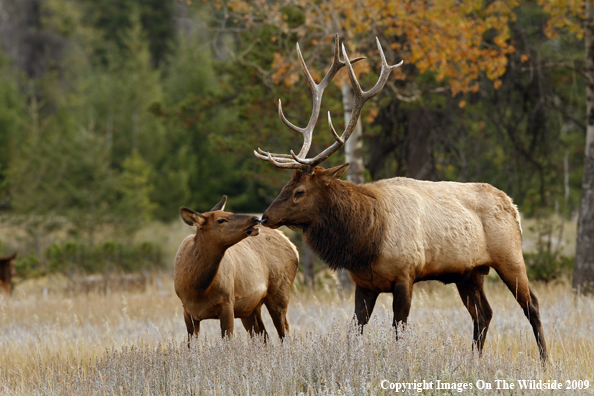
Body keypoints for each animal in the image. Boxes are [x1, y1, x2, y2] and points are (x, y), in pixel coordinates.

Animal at [173, 196, 298, 342]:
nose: (256, 218)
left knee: (285, 333)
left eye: (229, 212)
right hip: (250, 308)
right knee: (265, 336)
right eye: (221, 219)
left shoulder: (227, 302)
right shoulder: (188, 311)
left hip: (279, 293)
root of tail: (292, 246)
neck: (197, 288)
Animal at [253, 34, 544, 362]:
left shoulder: (406, 275)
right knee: (484, 314)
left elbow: (399, 331)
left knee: (531, 306)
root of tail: (512, 205)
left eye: (299, 191)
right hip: (469, 273)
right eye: (285, 185)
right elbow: (353, 332)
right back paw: (474, 360)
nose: (265, 216)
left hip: (510, 256)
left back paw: (545, 361)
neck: (365, 240)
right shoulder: (364, 284)